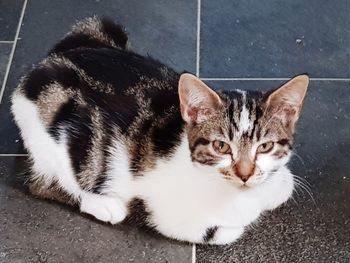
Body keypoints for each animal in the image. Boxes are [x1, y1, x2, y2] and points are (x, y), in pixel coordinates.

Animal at [10, 17, 308, 246]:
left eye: (265, 146)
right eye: (221, 146)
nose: (245, 175)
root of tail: (45, 63)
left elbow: (284, 183)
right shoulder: (169, 215)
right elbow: (221, 232)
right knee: (41, 181)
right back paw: (103, 204)